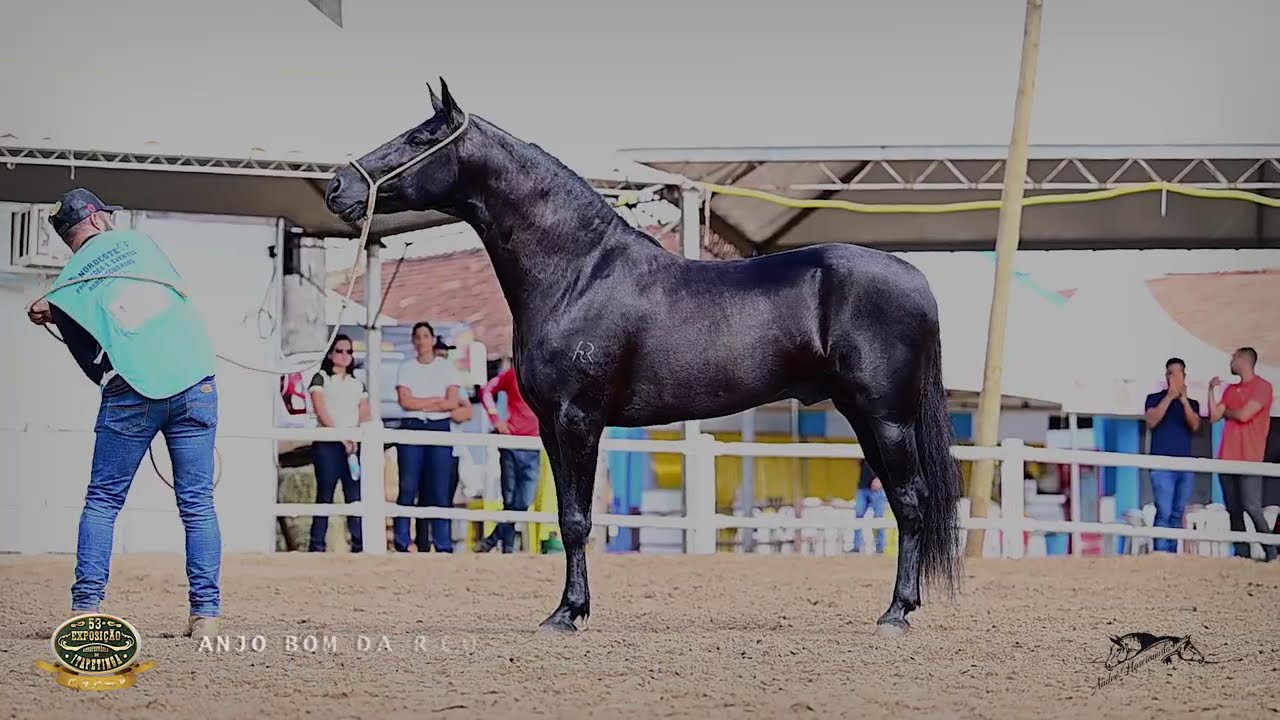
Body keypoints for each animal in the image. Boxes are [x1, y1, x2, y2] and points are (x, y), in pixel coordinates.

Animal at [324, 79, 963, 637]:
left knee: (912, 503)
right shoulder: (551, 427)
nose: (336, 186)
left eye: (417, 138)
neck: (577, 273)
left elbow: (578, 520)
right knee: (905, 503)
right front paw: (568, 608)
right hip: (866, 420)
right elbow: (567, 514)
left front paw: (568, 615)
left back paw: (897, 614)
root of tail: (918, 279)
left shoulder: (579, 419)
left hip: (886, 419)